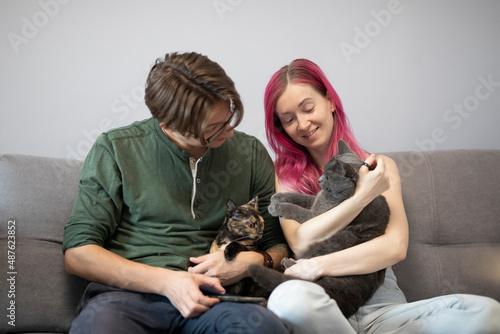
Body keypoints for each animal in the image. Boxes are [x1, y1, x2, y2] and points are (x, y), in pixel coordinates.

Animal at [248, 140, 392, 318]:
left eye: (328, 176)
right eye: (323, 171)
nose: (319, 180)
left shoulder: (315, 215)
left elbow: (295, 209)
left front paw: (276, 206)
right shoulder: (317, 202)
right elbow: (302, 197)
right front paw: (279, 196)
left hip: (339, 239)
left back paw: (288, 263)